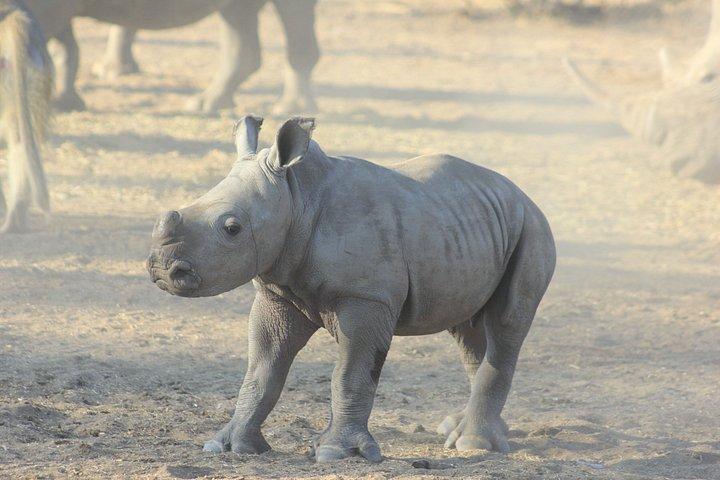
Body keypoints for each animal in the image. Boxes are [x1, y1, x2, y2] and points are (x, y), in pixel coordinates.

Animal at [21, 0, 319, 114]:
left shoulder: (50, 7)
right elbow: (63, 47)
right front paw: (64, 103)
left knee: (294, 16)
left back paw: (289, 109)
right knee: (238, 18)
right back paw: (205, 105)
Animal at [146, 116, 556, 462]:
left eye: (232, 228)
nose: (161, 270)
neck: (296, 196)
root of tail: (520, 193)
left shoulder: (366, 298)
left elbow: (352, 373)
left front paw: (336, 453)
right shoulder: (278, 291)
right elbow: (262, 369)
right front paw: (229, 446)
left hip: (532, 227)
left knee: (508, 322)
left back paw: (474, 445)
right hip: (466, 227)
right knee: (467, 330)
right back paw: (463, 430)